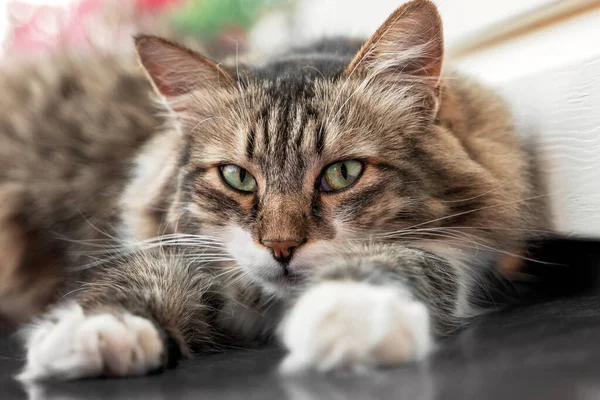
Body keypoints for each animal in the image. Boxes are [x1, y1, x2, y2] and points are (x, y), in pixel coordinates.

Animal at [4, 0, 548, 382]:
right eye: (237, 177)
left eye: (343, 173)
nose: (281, 248)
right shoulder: (176, 245)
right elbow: (145, 275)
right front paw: (97, 330)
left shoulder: (465, 242)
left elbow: (404, 261)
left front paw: (343, 315)